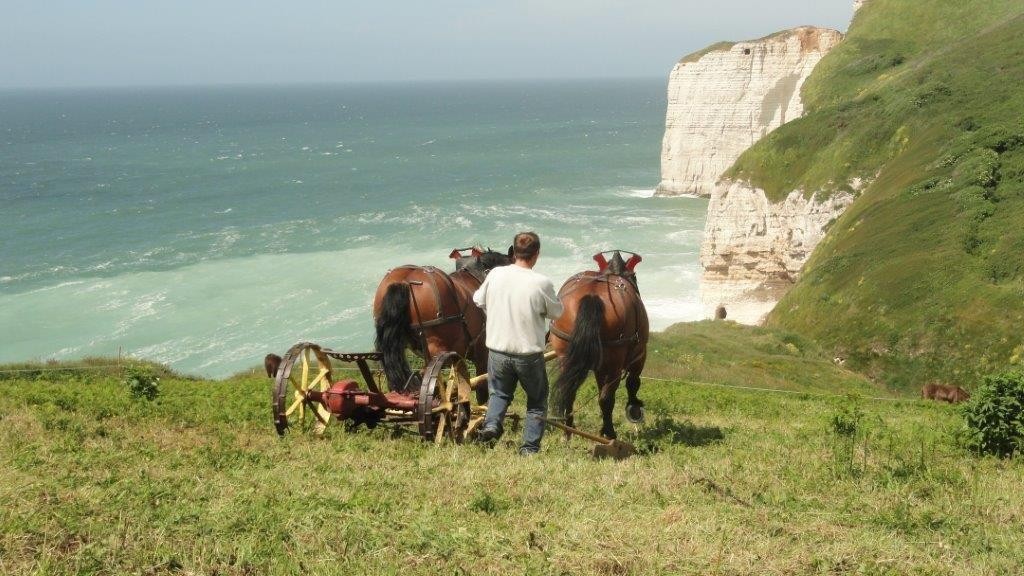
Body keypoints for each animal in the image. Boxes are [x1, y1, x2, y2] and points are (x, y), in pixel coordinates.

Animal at [552, 249, 647, 436]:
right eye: (635, 277)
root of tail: (592, 295)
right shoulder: (639, 355)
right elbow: (633, 382)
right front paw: (634, 408)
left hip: (565, 355)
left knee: (568, 392)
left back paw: (568, 429)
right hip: (613, 363)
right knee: (606, 398)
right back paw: (610, 433)